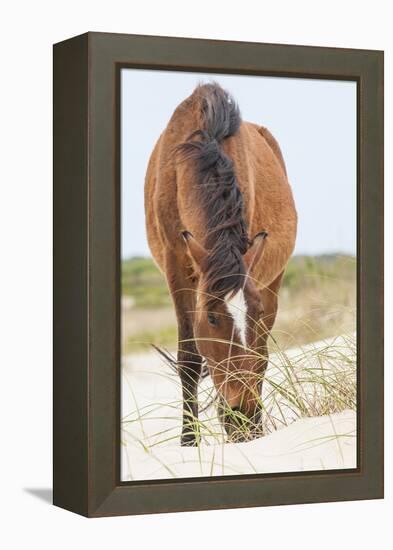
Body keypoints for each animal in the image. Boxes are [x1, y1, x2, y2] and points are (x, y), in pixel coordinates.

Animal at [145, 83, 296, 448]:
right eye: (212, 318)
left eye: (253, 312)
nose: (242, 413)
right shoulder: (176, 267)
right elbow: (189, 358)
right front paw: (189, 442)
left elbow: (256, 356)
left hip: (273, 281)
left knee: (262, 354)